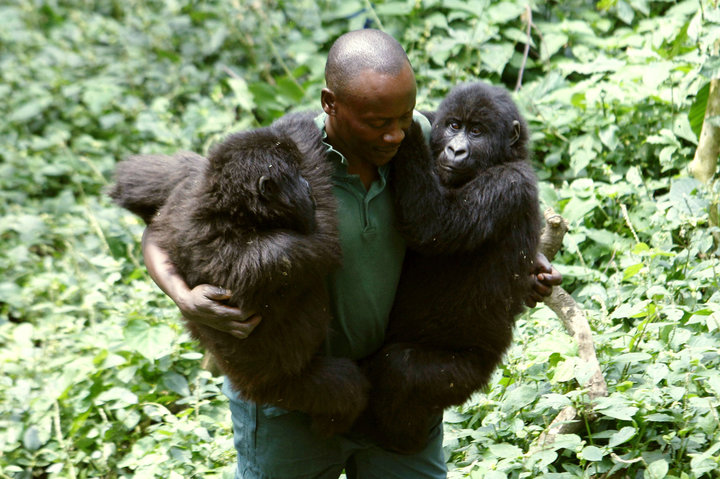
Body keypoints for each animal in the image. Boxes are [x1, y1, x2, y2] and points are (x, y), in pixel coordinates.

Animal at [109, 125, 368, 436]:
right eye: (295, 176)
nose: (305, 187)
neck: (234, 212)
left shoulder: (190, 186)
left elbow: (137, 182)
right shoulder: (281, 252)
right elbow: (325, 234)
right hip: (280, 390)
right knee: (344, 387)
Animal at [358, 81, 544, 454]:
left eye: (477, 132)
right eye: (454, 126)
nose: (456, 150)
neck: (505, 157)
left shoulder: (509, 184)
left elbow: (435, 225)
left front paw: (409, 133)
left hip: (469, 374)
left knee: (401, 368)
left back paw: (398, 437)